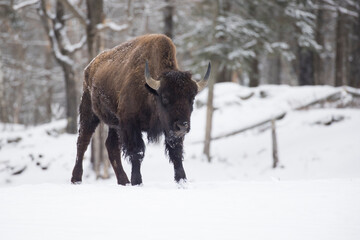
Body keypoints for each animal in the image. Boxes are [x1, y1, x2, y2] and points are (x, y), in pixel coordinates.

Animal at [70, 34, 211, 186]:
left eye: (192, 98)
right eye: (165, 97)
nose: (182, 126)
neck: (150, 92)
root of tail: (90, 67)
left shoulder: (170, 130)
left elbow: (176, 153)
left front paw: (182, 180)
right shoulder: (130, 125)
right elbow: (137, 152)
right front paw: (137, 181)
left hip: (114, 124)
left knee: (111, 146)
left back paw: (124, 181)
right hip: (89, 112)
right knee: (82, 142)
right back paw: (76, 179)